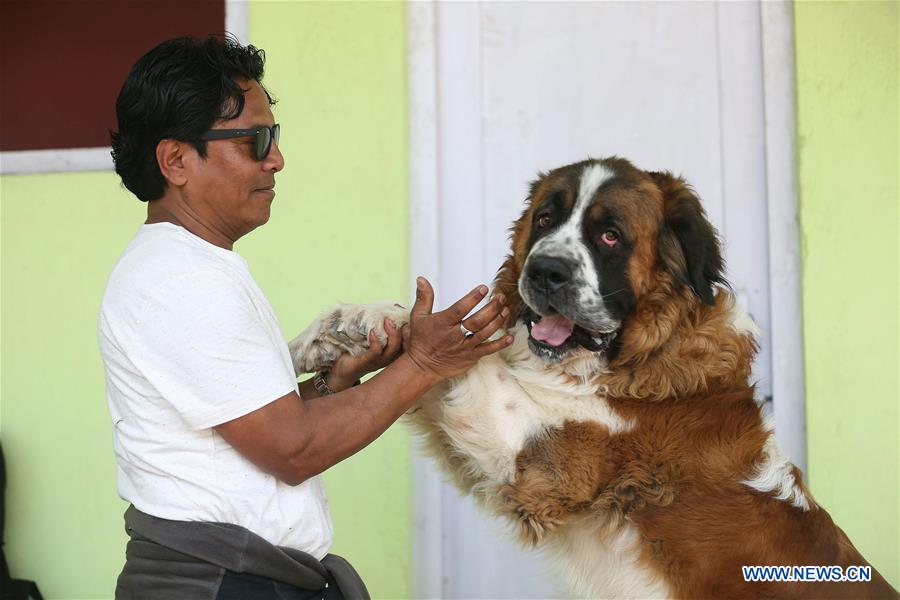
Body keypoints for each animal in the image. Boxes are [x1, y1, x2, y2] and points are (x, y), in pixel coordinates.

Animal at [292, 157, 896, 596]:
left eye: (609, 236)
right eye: (544, 220)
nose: (544, 271)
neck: (629, 361)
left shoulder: (548, 460)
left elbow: (472, 362)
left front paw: (411, 335)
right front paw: (337, 331)